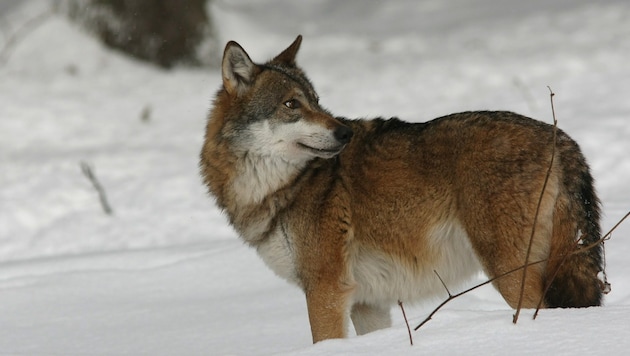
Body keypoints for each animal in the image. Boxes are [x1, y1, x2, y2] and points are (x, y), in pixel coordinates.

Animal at [200, 35, 604, 342]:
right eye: (291, 104)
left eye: (315, 101)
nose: (344, 133)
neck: (284, 186)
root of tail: (560, 137)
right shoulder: (366, 302)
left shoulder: (325, 290)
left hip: (510, 273)